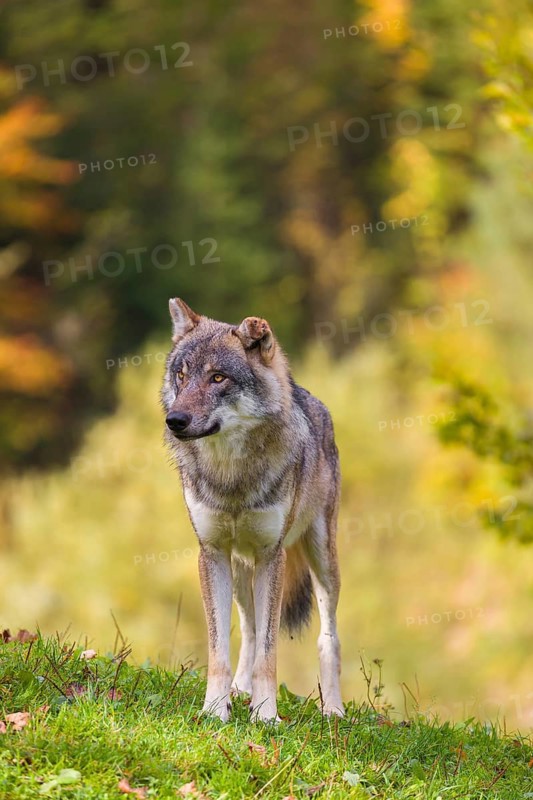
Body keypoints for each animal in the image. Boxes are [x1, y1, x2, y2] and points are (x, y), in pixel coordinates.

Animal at [161, 298, 343, 722]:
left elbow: (270, 653)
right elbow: (220, 649)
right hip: (241, 569)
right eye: (181, 375)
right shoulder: (211, 554)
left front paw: (266, 715)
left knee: (328, 636)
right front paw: (215, 709)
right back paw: (239, 689)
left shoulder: (271, 556)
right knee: (249, 628)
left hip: (321, 562)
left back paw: (334, 709)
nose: (174, 420)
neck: (232, 476)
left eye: (217, 378)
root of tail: (309, 396)